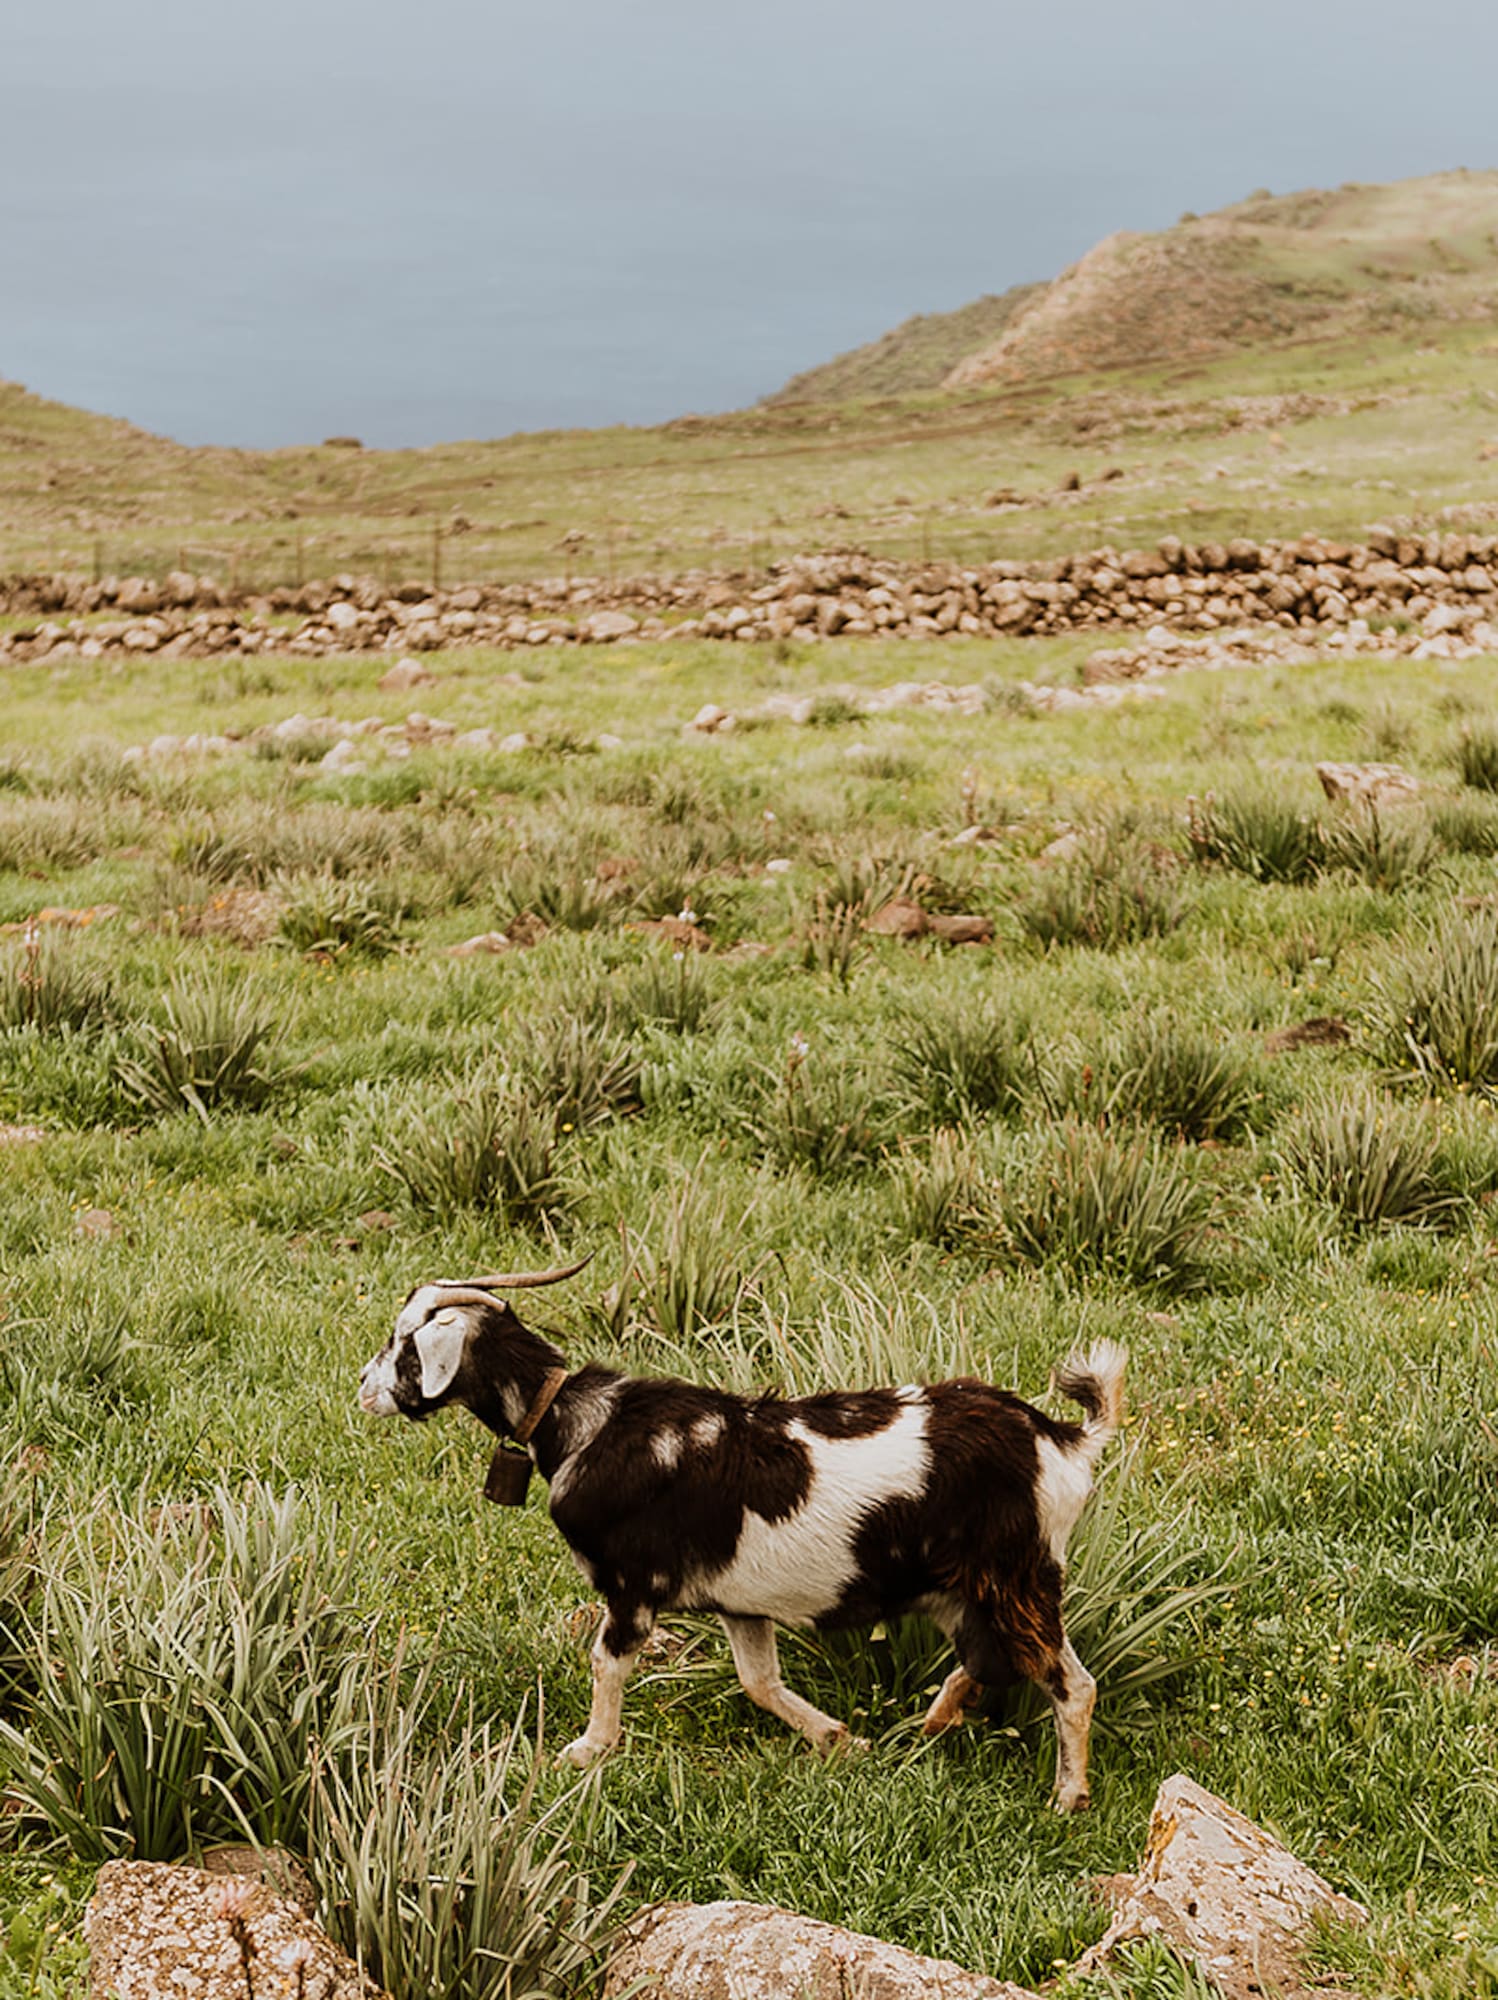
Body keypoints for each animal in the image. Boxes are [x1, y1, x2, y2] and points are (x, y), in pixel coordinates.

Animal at [357, 1259, 1125, 1809]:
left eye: (405, 1345)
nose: (363, 1387)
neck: (578, 1425)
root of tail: (1064, 1440)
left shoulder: (631, 1586)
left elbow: (607, 1664)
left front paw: (587, 1750)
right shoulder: (742, 1603)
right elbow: (759, 1682)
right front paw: (841, 1740)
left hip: (1017, 1575)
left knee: (1070, 1682)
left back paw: (1068, 1797)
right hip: (963, 1587)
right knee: (989, 1660)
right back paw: (930, 1725)